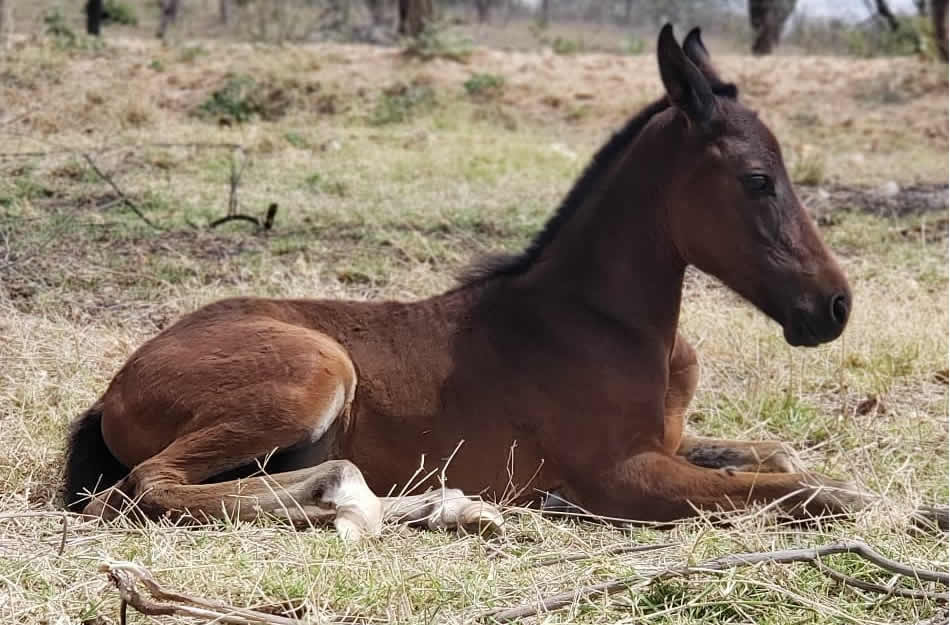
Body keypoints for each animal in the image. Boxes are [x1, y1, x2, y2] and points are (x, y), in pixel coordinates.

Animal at [65, 26, 900, 540]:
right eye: (758, 179)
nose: (833, 305)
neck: (609, 323)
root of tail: (116, 386)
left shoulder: (672, 443)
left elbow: (780, 457)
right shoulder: (625, 476)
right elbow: (802, 490)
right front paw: (895, 512)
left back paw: (445, 506)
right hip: (314, 370)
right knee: (144, 486)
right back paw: (350, 499)